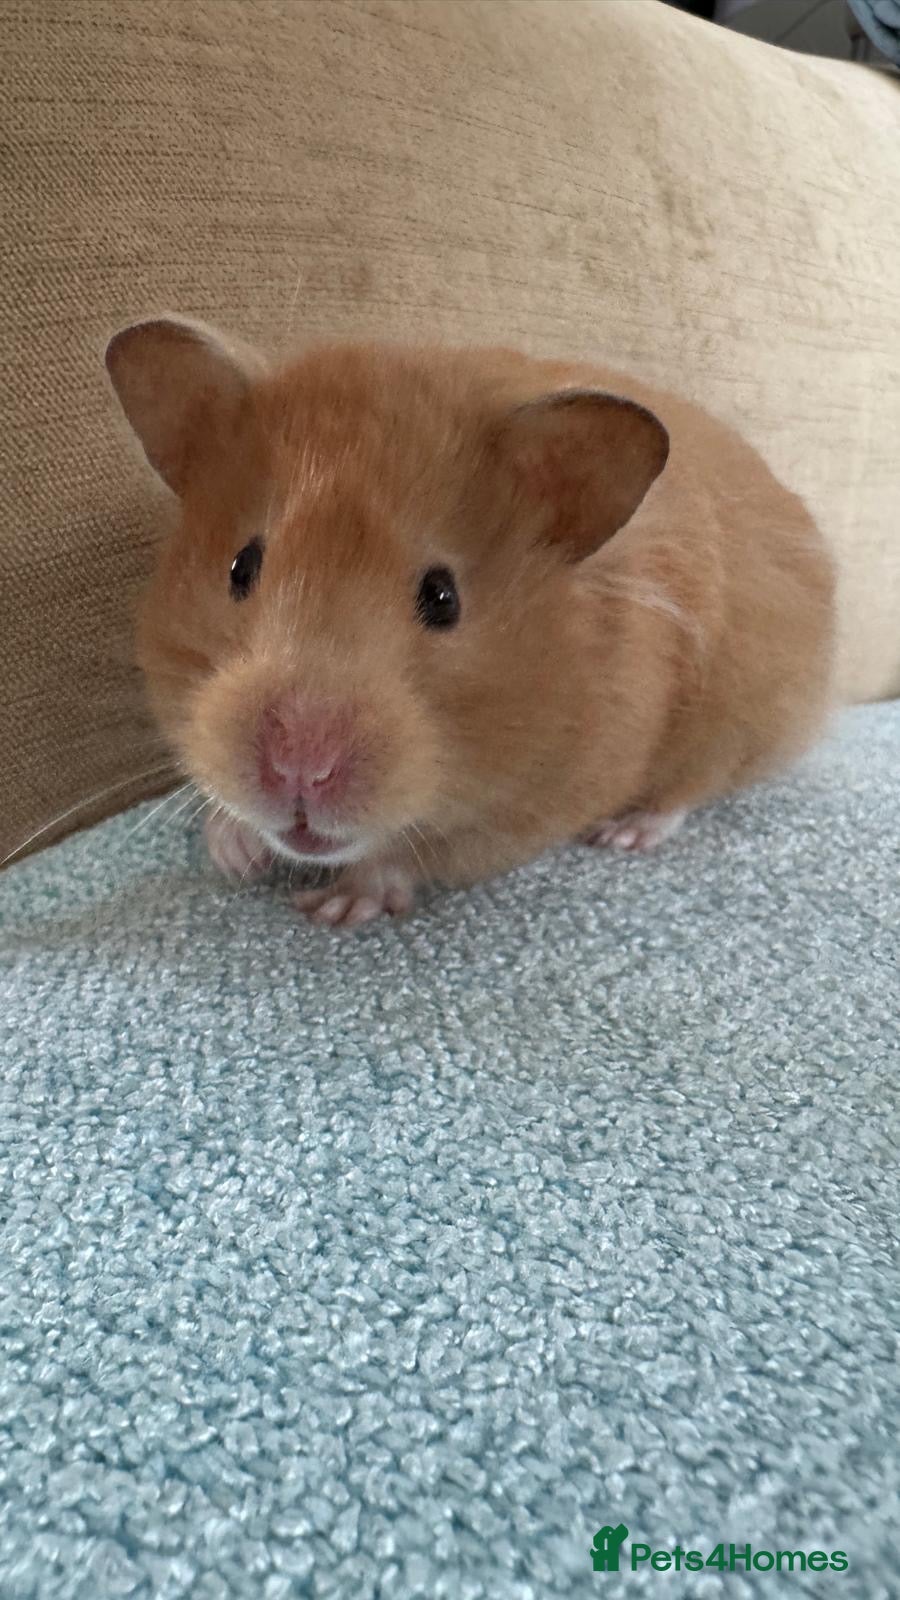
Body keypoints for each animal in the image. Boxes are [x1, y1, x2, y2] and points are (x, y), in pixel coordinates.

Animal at [106, 319, 835, 926]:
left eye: (443, 597)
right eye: (240, 568)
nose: (299, 772)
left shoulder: (536, 807)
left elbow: (410, 857)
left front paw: (336, 907)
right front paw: (235, 854)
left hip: (739, 720)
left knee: (691, 789)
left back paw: (626, 834)